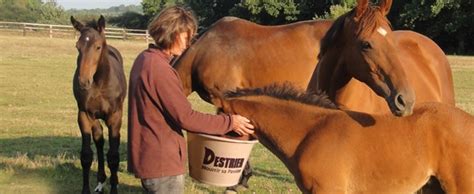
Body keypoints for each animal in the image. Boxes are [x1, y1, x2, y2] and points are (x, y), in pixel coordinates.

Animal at [70, 15, 126, 194]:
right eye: (77, 46)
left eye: (98, 47)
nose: (83, 81)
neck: (100, 84)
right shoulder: (84, 115)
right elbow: (86, 156)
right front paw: (85, 190)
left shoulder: (115, 116)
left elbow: (114, 157)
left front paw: (114, 189)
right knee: (99, 140)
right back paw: (100, 181)